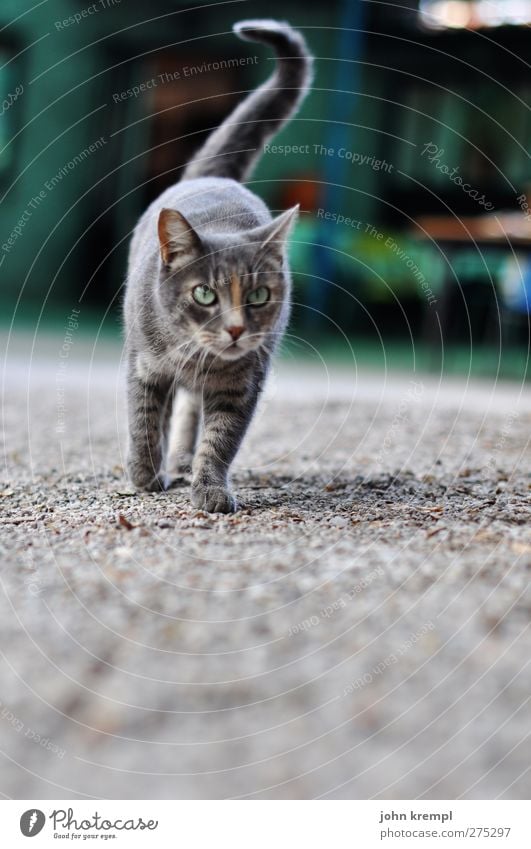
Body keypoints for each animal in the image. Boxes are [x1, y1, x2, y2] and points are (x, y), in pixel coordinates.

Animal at [123, 18, 312, 510]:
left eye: (260, 295)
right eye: (204, 294)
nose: (236, 329)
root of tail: (215, 175)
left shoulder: (242, 382)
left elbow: (221, 437)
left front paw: (209, 486)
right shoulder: (144, 365)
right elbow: (143, 419)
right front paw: (144, 474)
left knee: (191, 410)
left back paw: (183, 461)